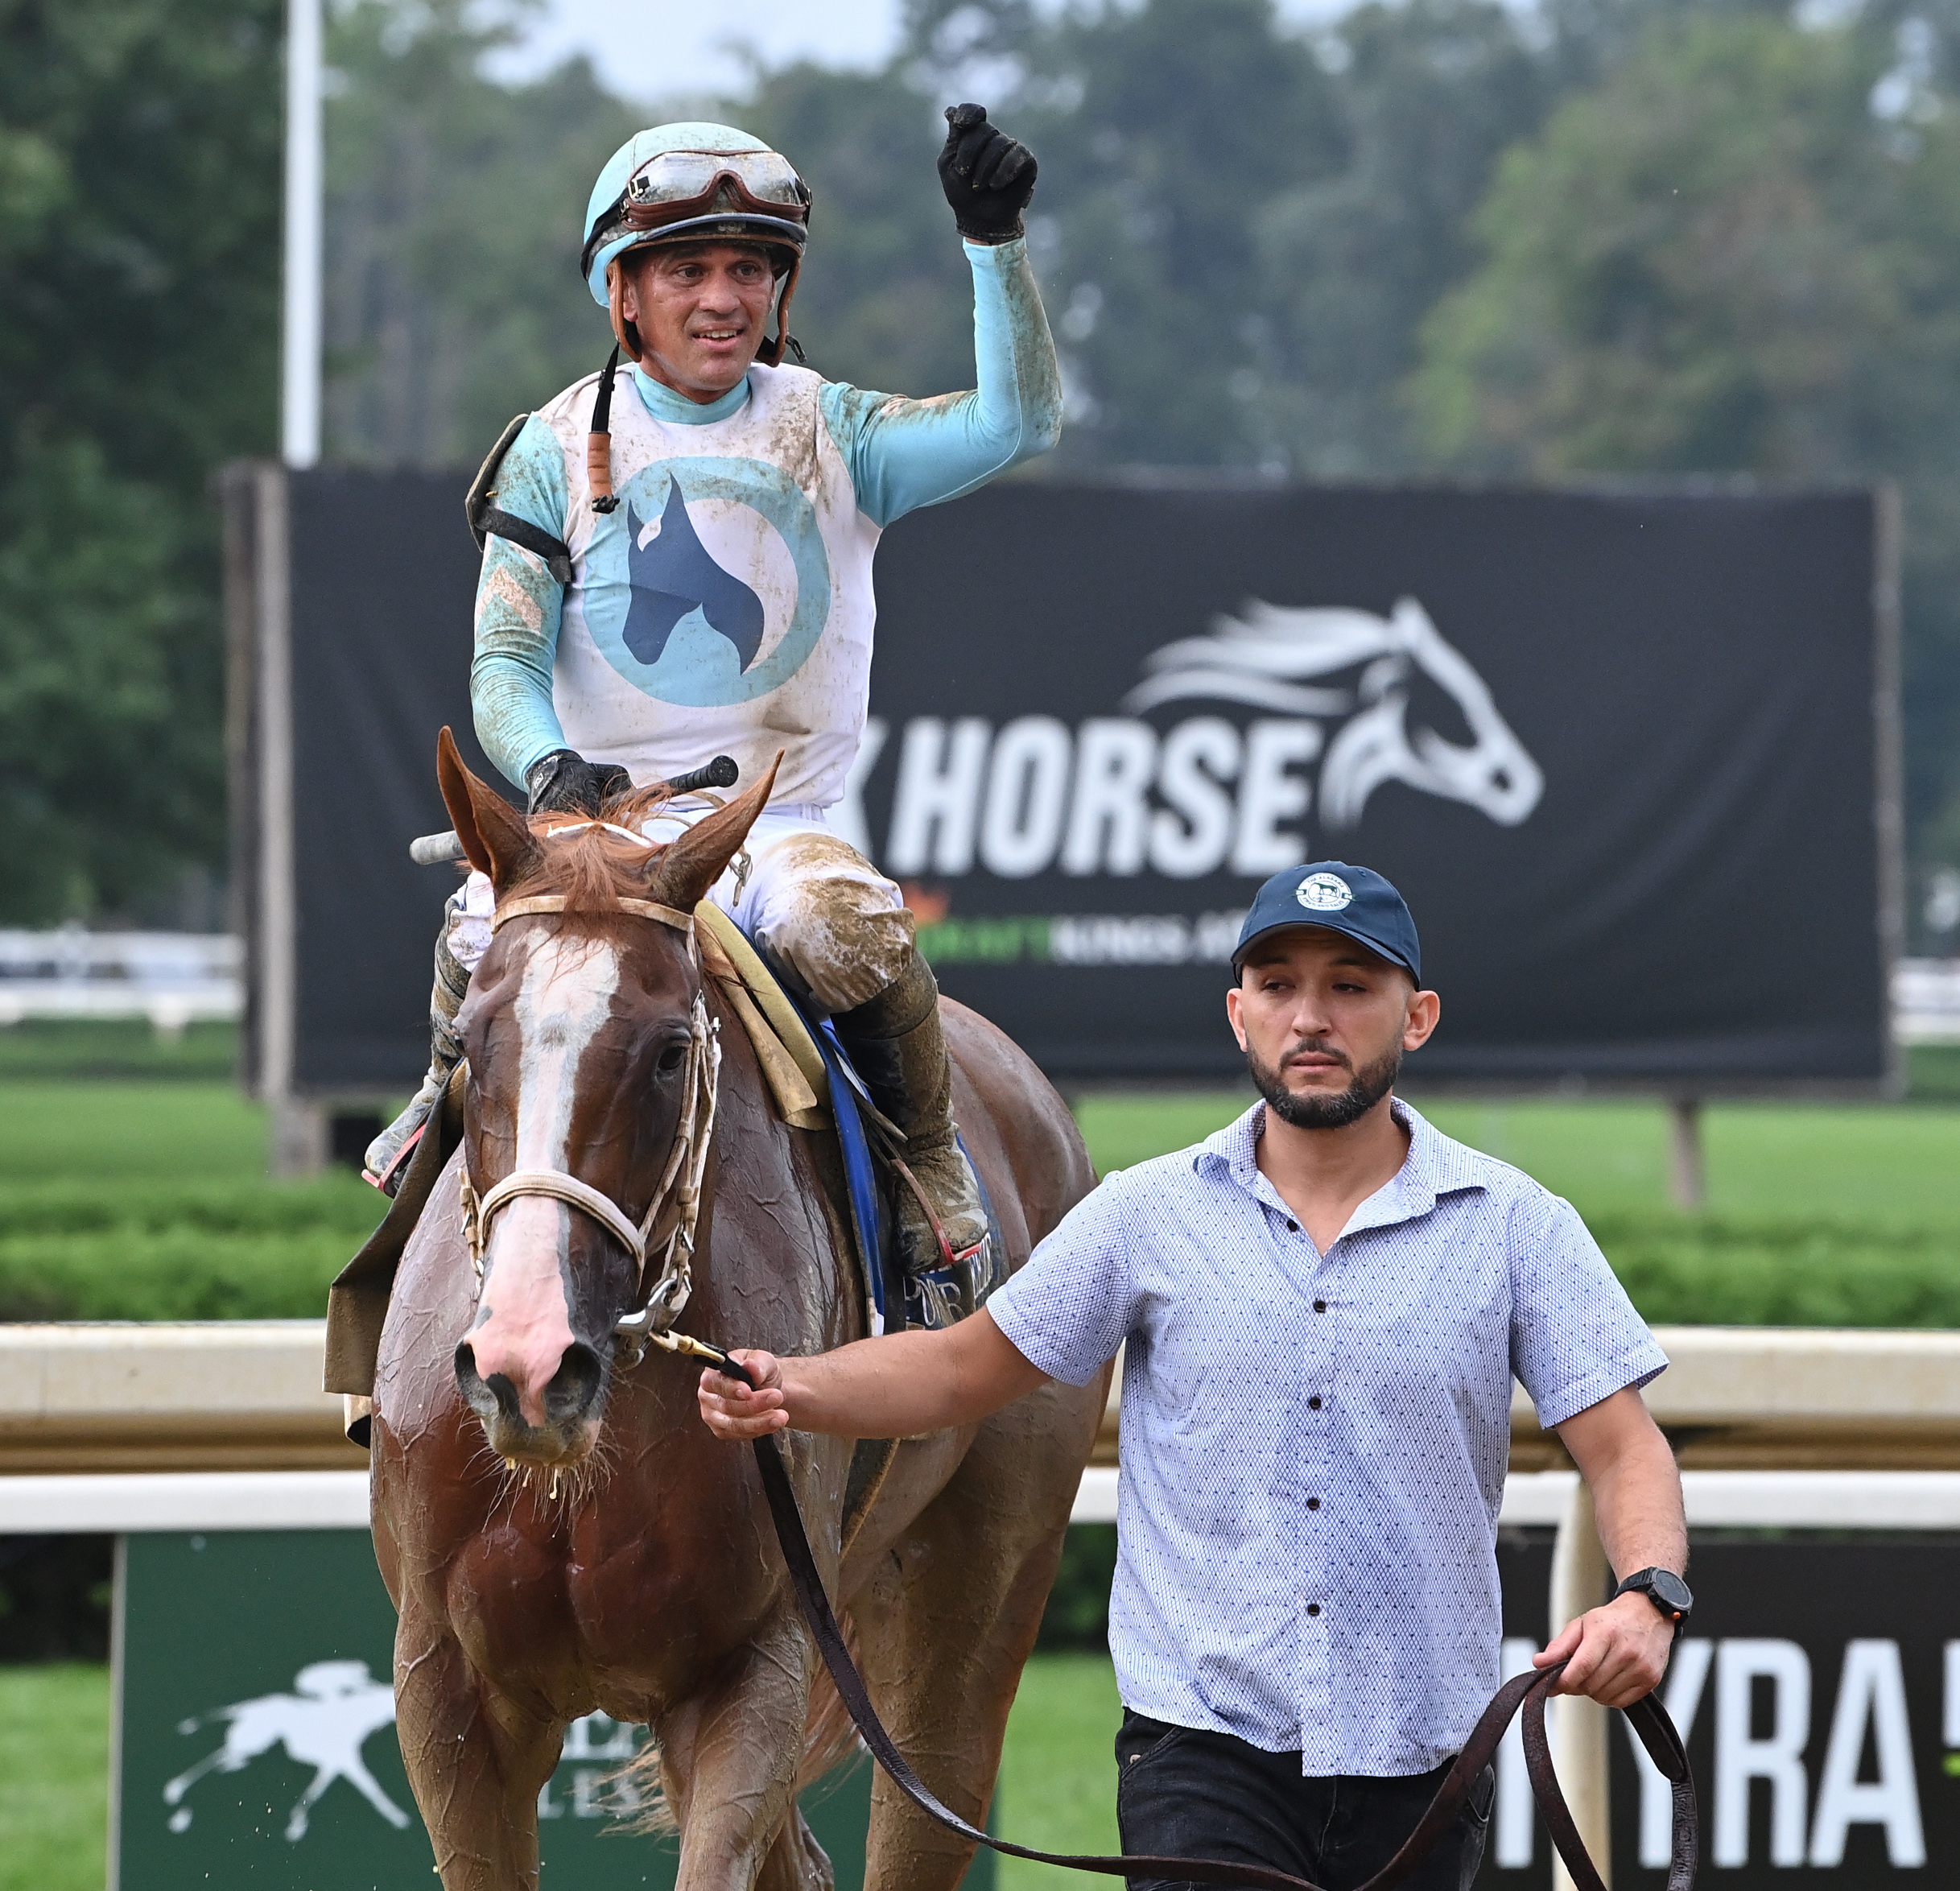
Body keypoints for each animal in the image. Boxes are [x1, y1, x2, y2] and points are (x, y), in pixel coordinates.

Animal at [364, 733, 1105, 1889]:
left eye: (672, 1049)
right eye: (472, 1041)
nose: (527, 1365)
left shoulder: (754, 1664)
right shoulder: (444, 1685)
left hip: (975, 1588)